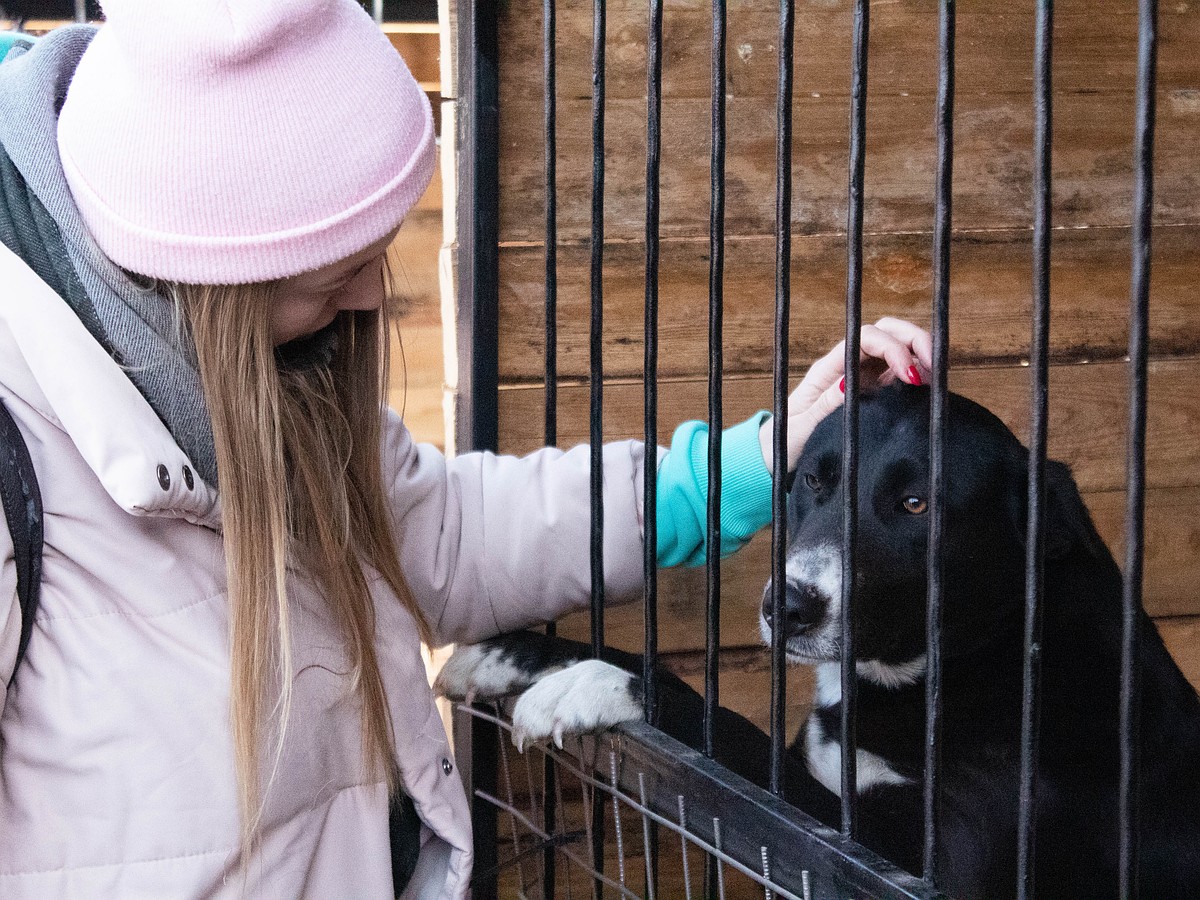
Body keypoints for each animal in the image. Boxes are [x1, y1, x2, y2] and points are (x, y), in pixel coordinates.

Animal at [439, 384, 1200, 897]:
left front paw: (598, 686)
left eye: (916, 504)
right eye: (814, 478)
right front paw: (517, 654)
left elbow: (725, 744)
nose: (788, 606)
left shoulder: (908, 868)